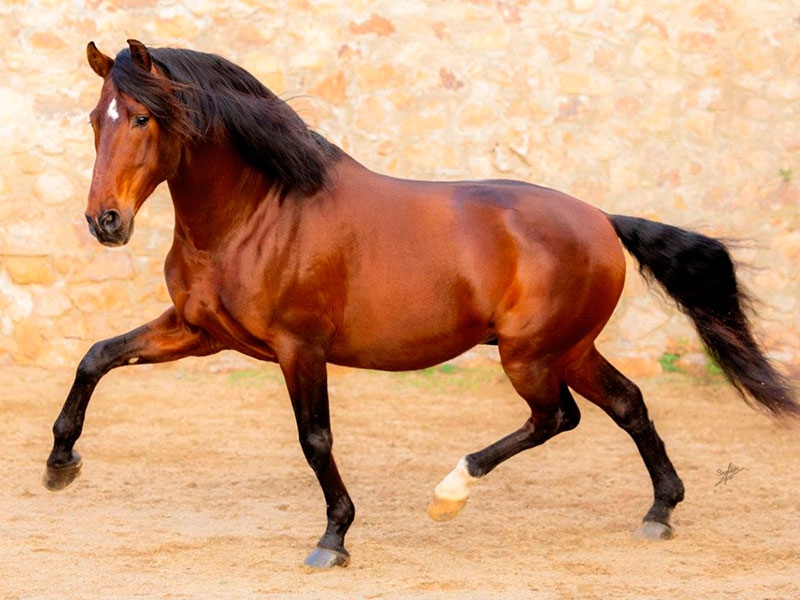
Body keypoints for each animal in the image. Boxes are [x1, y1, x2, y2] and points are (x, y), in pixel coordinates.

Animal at [44, 39, 798, 569]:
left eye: (142, 118)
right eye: (94, 120)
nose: (105, 222)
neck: (258, 214)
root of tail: (602, 221)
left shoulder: (299, 348)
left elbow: (315, 439)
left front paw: (334, 539)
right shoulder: (199, 331)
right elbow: (96, 357)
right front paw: (60, 464)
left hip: (531, 354)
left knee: (559, 417)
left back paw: (451, 492)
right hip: (570, 348)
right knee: (627, 404)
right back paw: (660, 512)